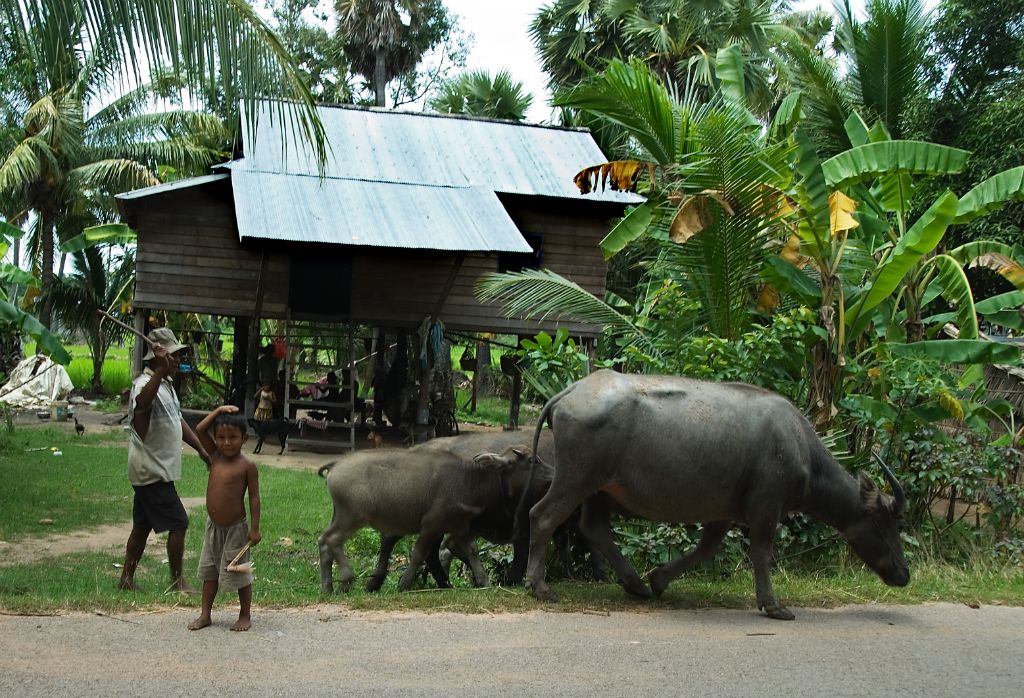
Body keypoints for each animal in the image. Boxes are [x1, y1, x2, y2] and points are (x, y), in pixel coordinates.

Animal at [524, 370, 909, 618]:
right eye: (886, 524)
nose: (903, 574)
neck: (801, 449)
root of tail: (572, 390)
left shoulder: (723, 512)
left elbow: (706, 548)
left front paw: (659, 578)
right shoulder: (767, 505)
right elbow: (761, 552)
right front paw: (773, 605)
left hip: (599, 488)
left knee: (594, 527)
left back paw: (636, 584)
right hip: (576, 478)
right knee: (542, 516)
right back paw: (539, 586)